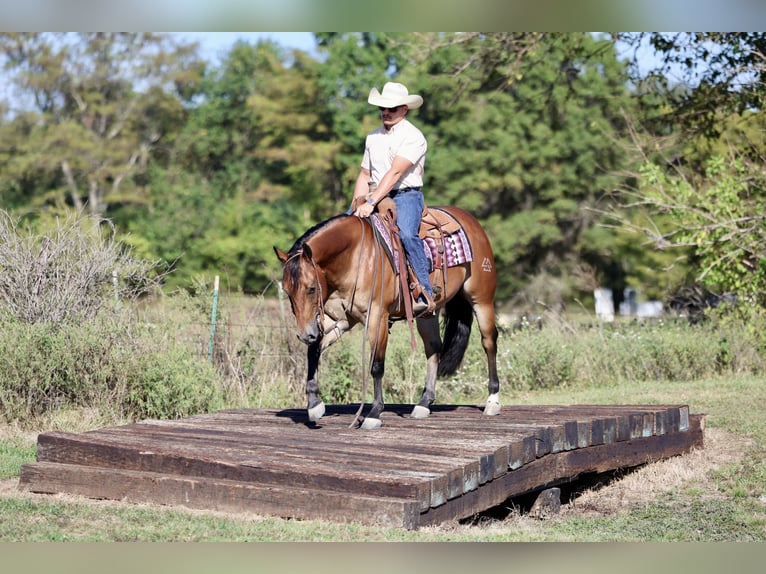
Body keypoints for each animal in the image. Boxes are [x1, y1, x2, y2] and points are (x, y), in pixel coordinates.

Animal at [274, 205, 500, 429]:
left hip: (481, 300)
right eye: (287, 291)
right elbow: (314, 351)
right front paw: (314, 405)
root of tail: (470, 220)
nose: (304, 335)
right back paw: (424, 403)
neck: (355, 257)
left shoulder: (377, 317)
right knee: (433, 348)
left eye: (311, 288)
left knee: (489, 342)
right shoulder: (338, 318)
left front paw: (374, 413)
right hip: (429, 314)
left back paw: (492, 401)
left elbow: (376, 365)